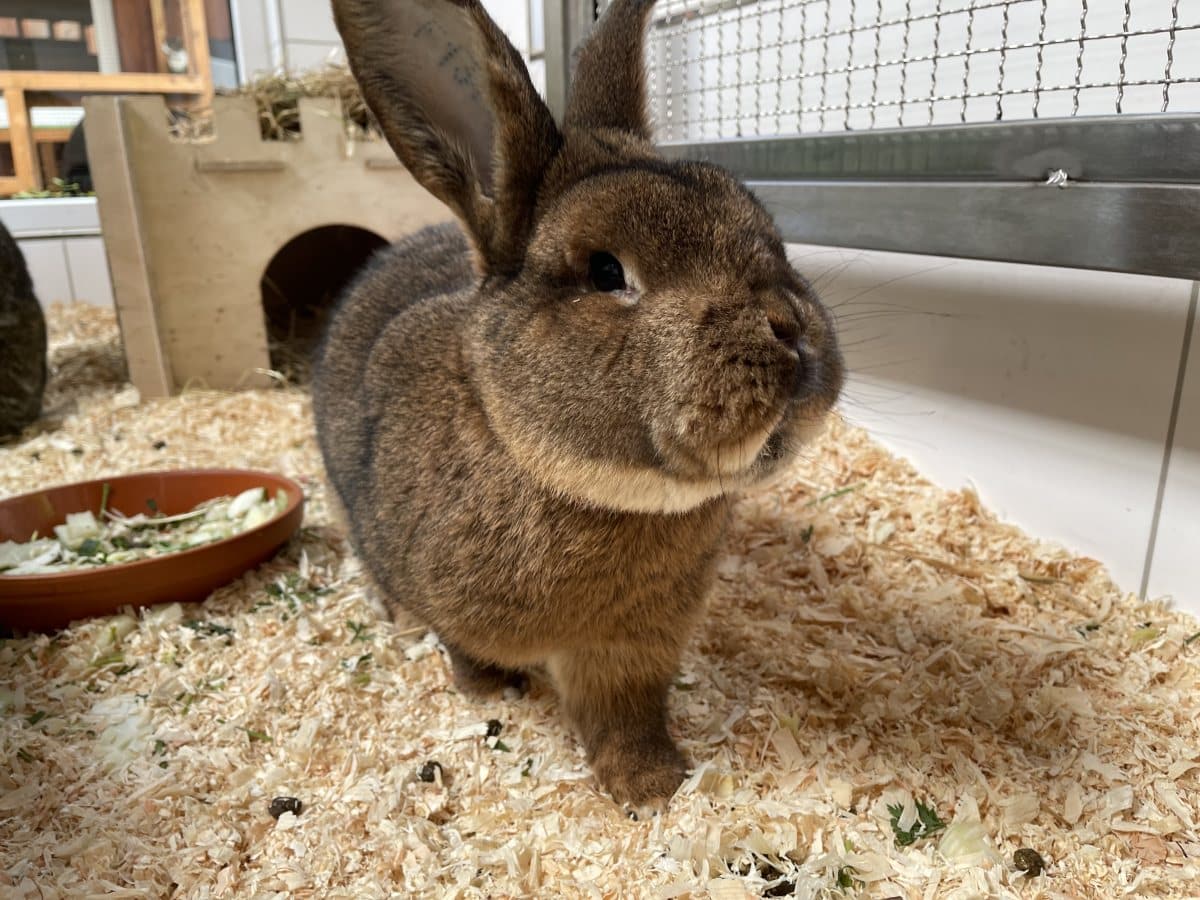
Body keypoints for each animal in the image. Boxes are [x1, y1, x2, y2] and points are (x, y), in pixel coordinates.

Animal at [314, 0, 844, 811]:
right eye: (604, 272)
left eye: (765, 232)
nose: (791, 331)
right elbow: (461, 649)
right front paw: (487, 691)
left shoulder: (630, 654)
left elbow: (624, 716)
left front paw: (650, 786)